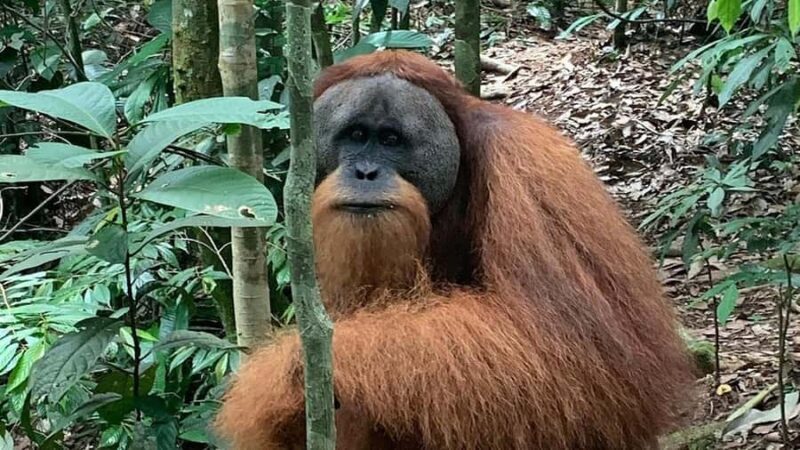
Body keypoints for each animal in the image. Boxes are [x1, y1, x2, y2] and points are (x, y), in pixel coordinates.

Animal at [214, 50, 693, 450]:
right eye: (355, 135)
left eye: (391, 140)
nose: (365, 172)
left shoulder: (529, 170)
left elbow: (582, 353)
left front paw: (280, 372)